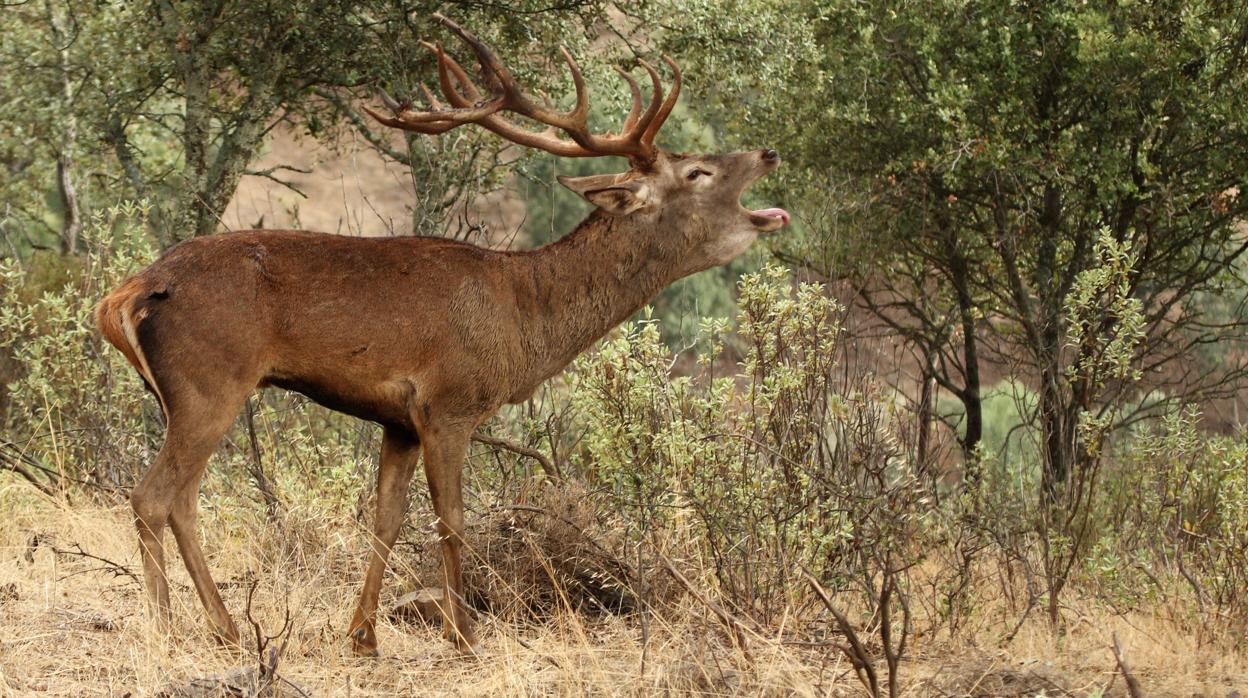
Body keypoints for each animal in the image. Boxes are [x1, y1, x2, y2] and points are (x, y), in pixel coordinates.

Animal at [95, 14, 790, 657]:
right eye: (696, 172)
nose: (768, 153)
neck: (522, 322)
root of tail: (128, 293)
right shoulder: (449, 403)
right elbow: (452, 522)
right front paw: (464, 635)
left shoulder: (398, 420)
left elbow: (386, 519)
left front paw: (363, 634)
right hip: (209, 382)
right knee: (153, 495)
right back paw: (170, 629)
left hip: (189, 394)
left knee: (181, 499)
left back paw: (227, 627)